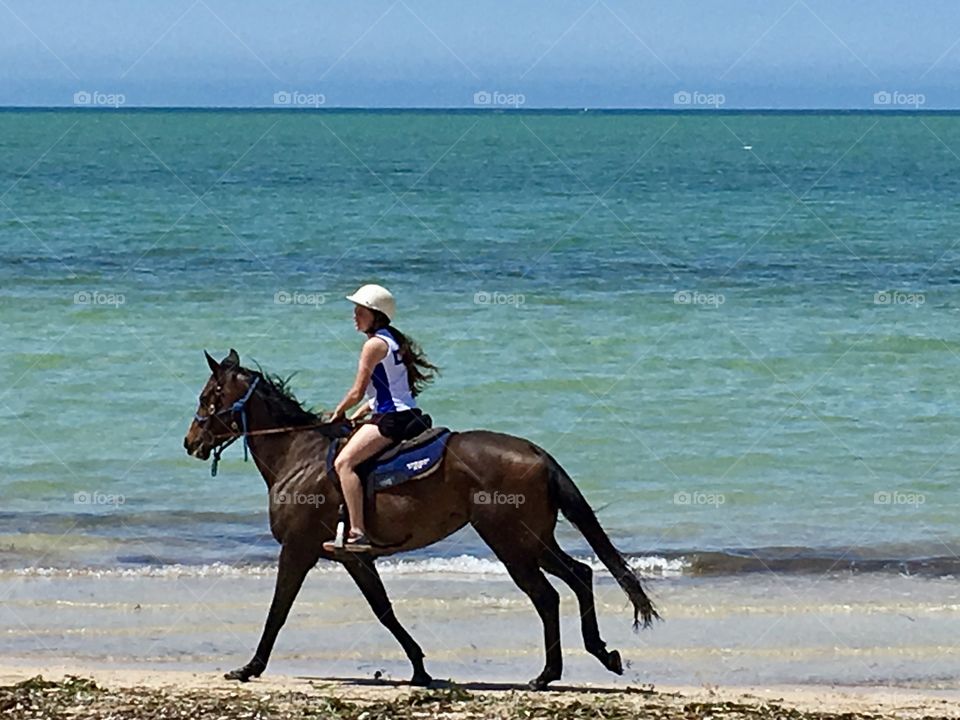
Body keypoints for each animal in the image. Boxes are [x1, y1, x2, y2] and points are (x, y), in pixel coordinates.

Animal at [184, 352, 656, 688]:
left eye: (208, 397)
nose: (190, 442)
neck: (298, 456)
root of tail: (536, 453)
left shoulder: (298, 550)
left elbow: (278, 611)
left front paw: (250, 667)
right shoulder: (355, 558)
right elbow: (384, 611)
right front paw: (420, 669)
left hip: (510, 543)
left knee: (547, 595)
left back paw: (547, 675)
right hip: (533, 540)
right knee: (579, 576)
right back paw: (598, 654)